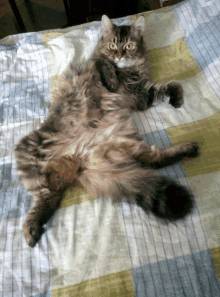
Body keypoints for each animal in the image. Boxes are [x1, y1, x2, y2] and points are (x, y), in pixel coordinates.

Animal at [13, 15, 199, 246]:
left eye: (128, 46)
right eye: (112, 46)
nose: (119, 55)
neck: (127, 71)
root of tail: (80, 158)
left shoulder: (143, 94)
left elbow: (171, 86)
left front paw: (177, 99)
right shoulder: (105, 68)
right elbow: (103, 64)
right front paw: (111, 78)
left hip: (122, 142)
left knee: (152, 159)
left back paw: (190, 149)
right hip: (29, 156)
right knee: (45, 198)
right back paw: (31, 231)